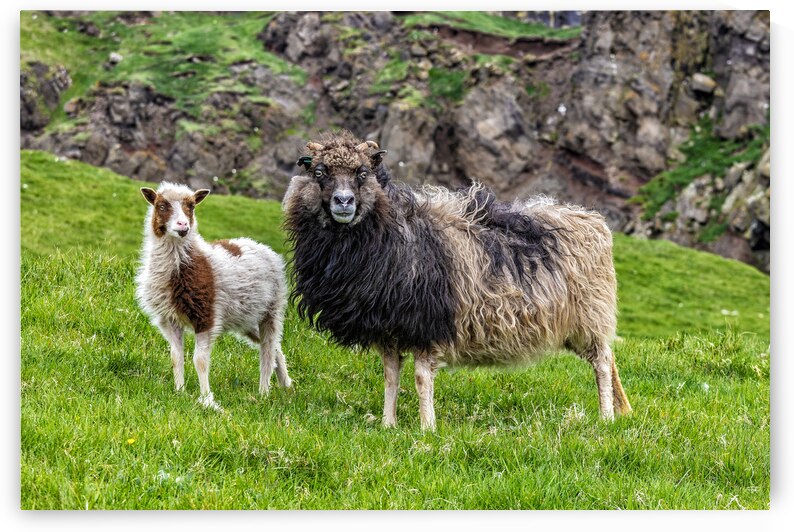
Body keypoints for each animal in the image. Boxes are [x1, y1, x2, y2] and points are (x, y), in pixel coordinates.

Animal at [135, 182, 291, 411]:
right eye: (162, 206)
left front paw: (207, 399)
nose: (183, 225)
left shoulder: (206, 315)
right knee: (275, 347)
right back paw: (286, 384)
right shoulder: (170, 319)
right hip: (245, 318)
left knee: (268, 349)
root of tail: (259, 245)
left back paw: (264, 391)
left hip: (272, 309)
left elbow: (200, 360)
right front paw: (179, 391)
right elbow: (176, 357)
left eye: (191, 206)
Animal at [282, 131, 631, 431]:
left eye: (363, 172)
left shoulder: (426, 322)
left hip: (589, 316)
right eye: (319, 172)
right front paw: (388, 425)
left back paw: (606, 418)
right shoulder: (388, 327)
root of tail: (592, 220)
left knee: (602, 363)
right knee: (607, 359)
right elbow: (390, 376)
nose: (343, 201)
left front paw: (427, 428)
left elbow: (421, 377)